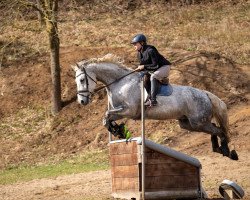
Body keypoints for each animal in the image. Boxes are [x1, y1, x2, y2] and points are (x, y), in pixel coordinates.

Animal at [72, 55, 238, 161]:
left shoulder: (129, 111)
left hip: (198, 122)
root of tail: (205, 93)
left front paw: (118, 130)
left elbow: (107, 114)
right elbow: (106, 118)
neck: (120, 82)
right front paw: (119, 131)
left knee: (219, 130)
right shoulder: (120, 111)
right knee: (215, 128)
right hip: (188, 123)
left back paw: (226, 151)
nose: (82, 101)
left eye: (82, 79)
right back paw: (219, 149)